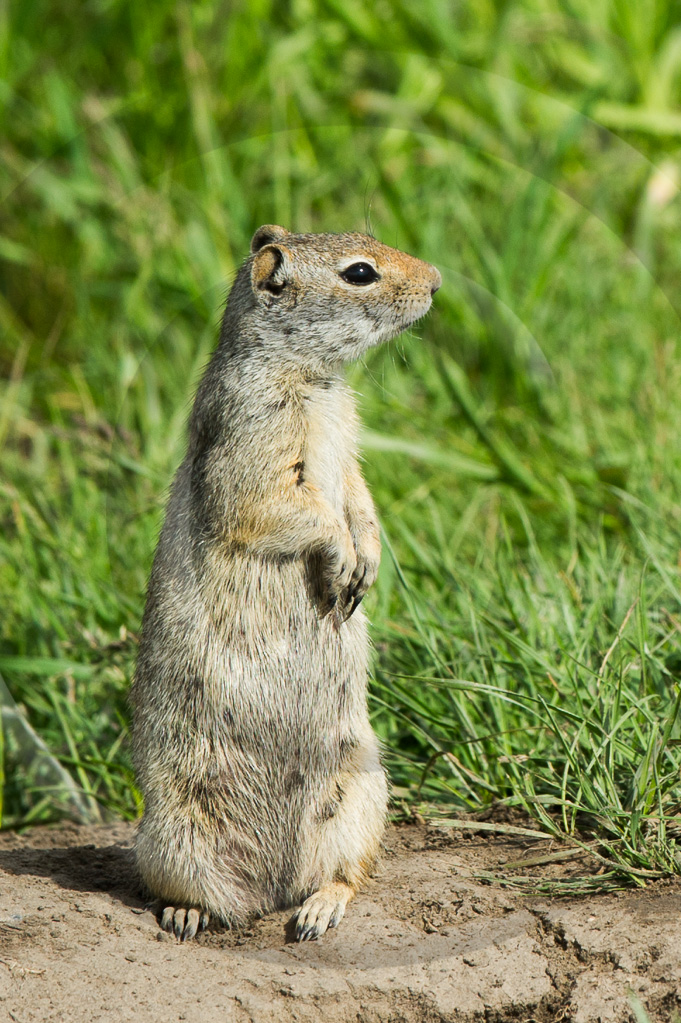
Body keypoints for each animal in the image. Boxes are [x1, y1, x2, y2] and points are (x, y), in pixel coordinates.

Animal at [130, 226, 439, 941]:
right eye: (360, 272)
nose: (438, 279)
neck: (314, 377)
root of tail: (268, 887)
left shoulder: (349, 455)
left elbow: (358, 499)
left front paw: (367, 561)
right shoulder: (257, 439)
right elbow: (292, 510)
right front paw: (342, 558)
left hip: (361, 794)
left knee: (343, 874)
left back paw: (318, 909)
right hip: (170, 836)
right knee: (196, 893)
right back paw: (188, 913)